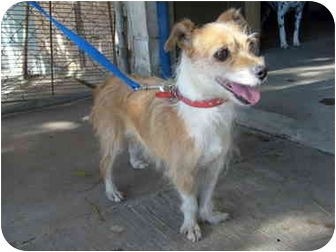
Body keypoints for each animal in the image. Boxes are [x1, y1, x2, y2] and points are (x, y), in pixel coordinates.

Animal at [90, 9, 268, 242]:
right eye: (222, 53)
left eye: (251, 45)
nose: (263, 71)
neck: (205, 109)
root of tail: (110, 79)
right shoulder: (183, 171)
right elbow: (191, 202)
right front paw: (191, 226)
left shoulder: (214, 167)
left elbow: (207, 196)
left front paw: (209, 216)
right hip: (113, 139)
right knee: (105, 165)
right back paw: (111, 191)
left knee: (134, 143)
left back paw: (136, 161)